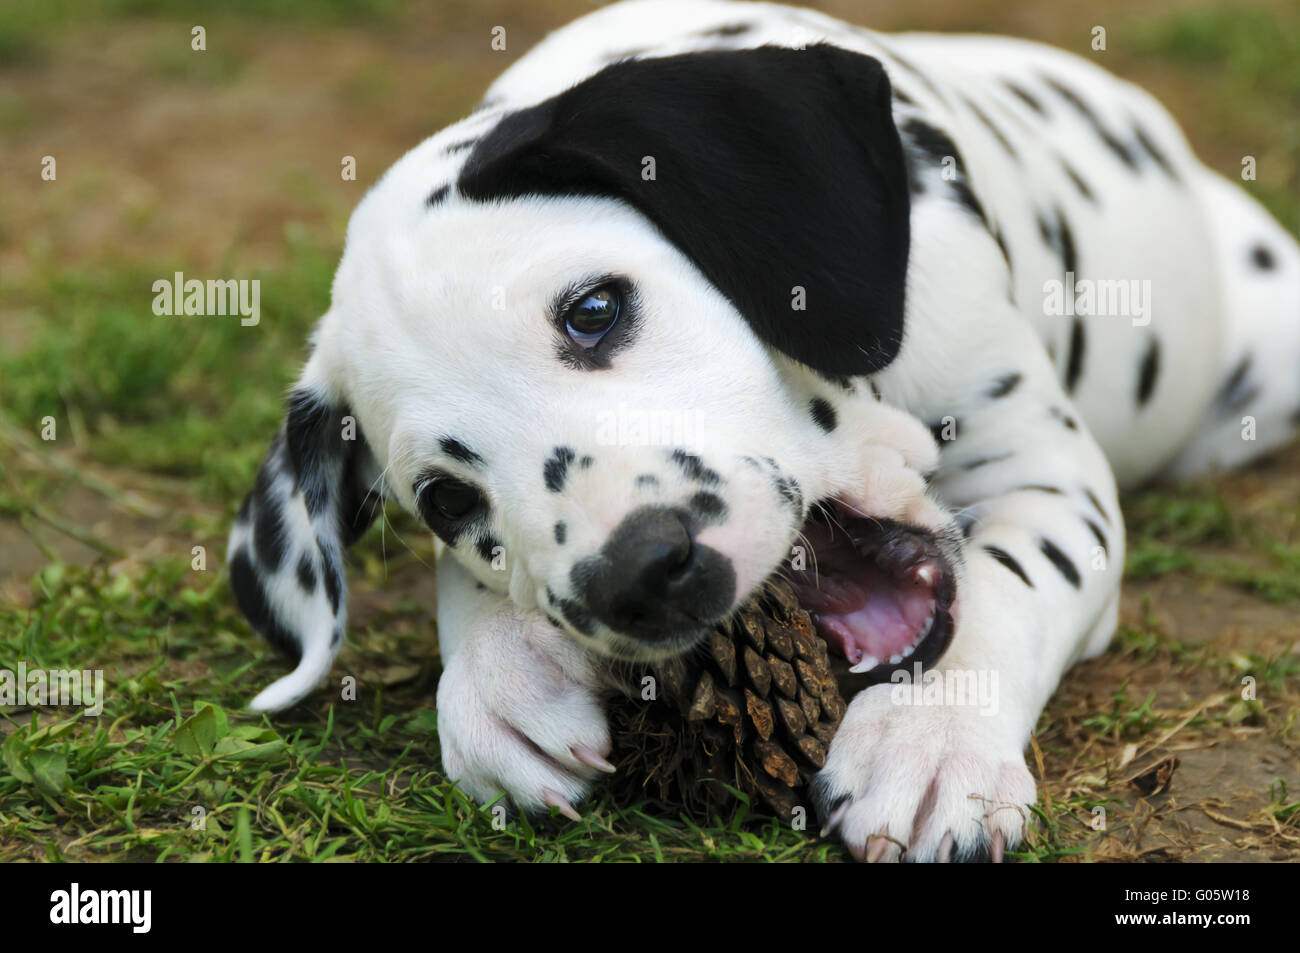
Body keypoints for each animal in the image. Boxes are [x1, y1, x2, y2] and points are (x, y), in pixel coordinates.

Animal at [228, 1, 1300, 863]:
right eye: (448, 499)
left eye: (594, 309)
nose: (639, 578)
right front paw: (497, 676)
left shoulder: (1047, 472)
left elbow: (1011, 584)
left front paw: (931, 741)